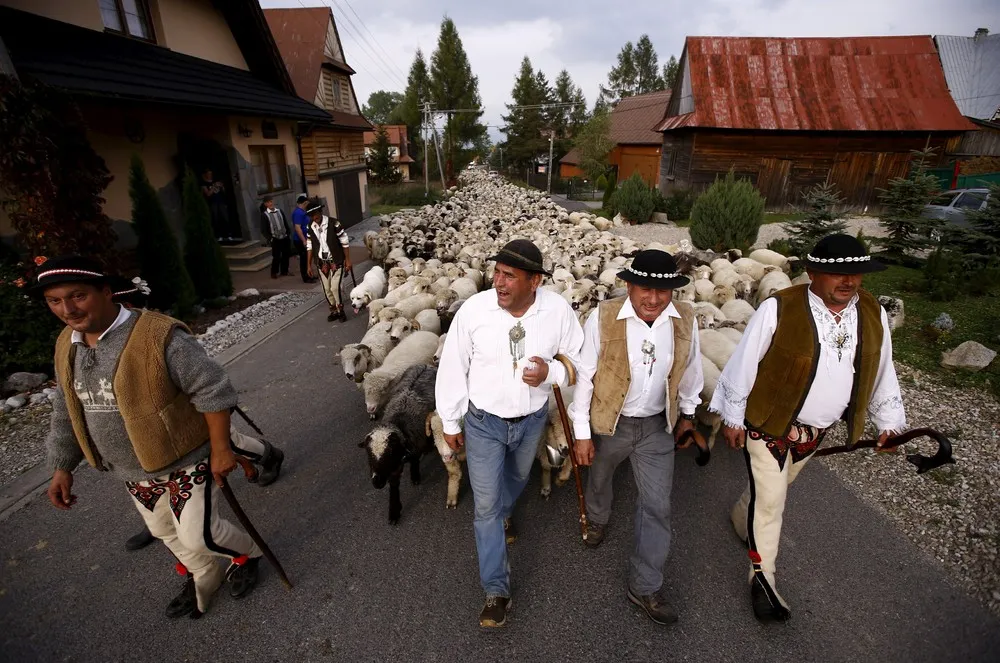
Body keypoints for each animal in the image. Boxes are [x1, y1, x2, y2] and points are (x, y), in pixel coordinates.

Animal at [360, 364, 438, 524]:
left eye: (389, 452)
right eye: (368, 455)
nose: (376, 482)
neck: (398, 423)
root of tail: (426, 365)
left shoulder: (414, 447)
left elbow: (415, 460)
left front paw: (415, 477)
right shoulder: (394, 468)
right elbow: (394, 487)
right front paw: (394, 512)